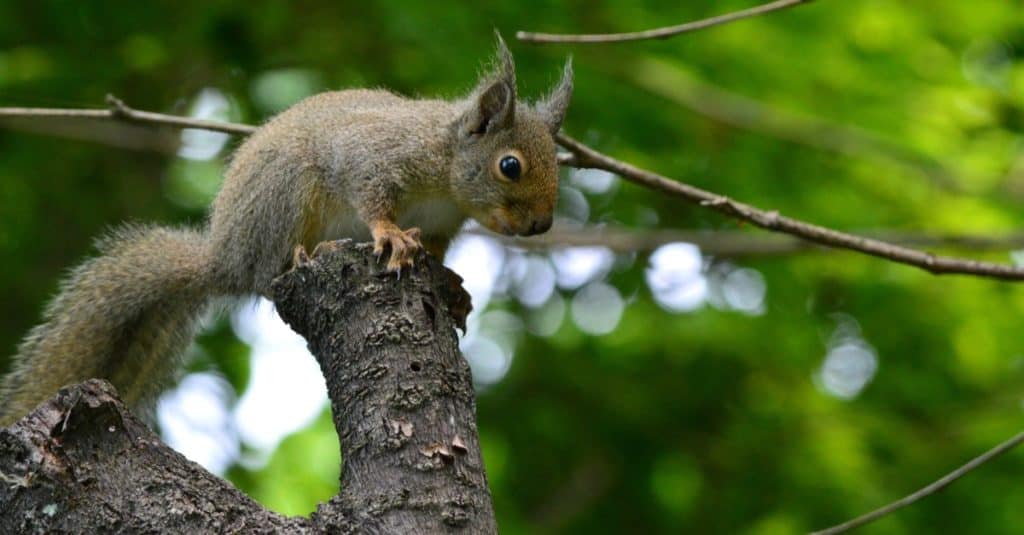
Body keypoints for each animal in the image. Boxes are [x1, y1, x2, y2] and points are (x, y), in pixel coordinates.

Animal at [0, 35, 572, 426]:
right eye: (510, 166)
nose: (541, 225)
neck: (448, 173)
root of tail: (223, 259)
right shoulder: (374, 156)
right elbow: (372, 197)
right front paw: (389, 234)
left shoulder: (443, 226)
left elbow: (437, 255)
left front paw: (451, 286)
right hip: (288, 192)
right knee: (270, 268)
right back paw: (306, 252)